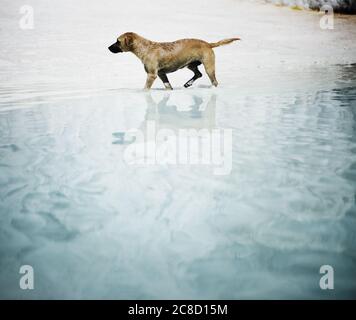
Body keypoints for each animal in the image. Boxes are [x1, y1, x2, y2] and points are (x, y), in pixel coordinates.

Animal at [108, 32, 239, 89]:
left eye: (118, 41)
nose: (108, 47)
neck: (146, 48)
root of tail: (208, 44)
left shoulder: (151, 75)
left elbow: (146, 88)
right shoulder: (161, 74)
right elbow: (168, 86)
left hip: (209, 66)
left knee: (213, 81)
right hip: (190, 64)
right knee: (198, 74)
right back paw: (188, 83)